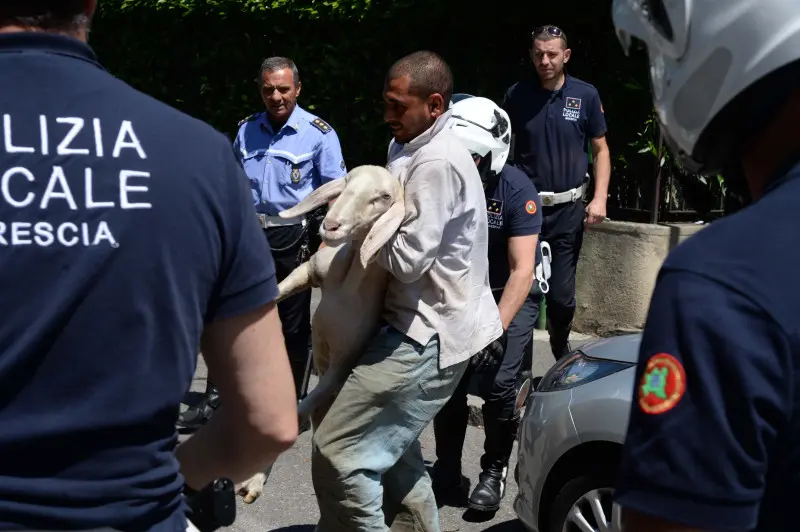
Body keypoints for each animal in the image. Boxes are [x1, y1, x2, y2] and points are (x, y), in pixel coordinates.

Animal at [234, 164, 404, 504]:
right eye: (347, 183)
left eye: (383, 197)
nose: (331, 225)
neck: (349, 281)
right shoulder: (309, 271)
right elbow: (276, 291)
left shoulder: (341, 364)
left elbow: (301, 406)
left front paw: (253, 479)